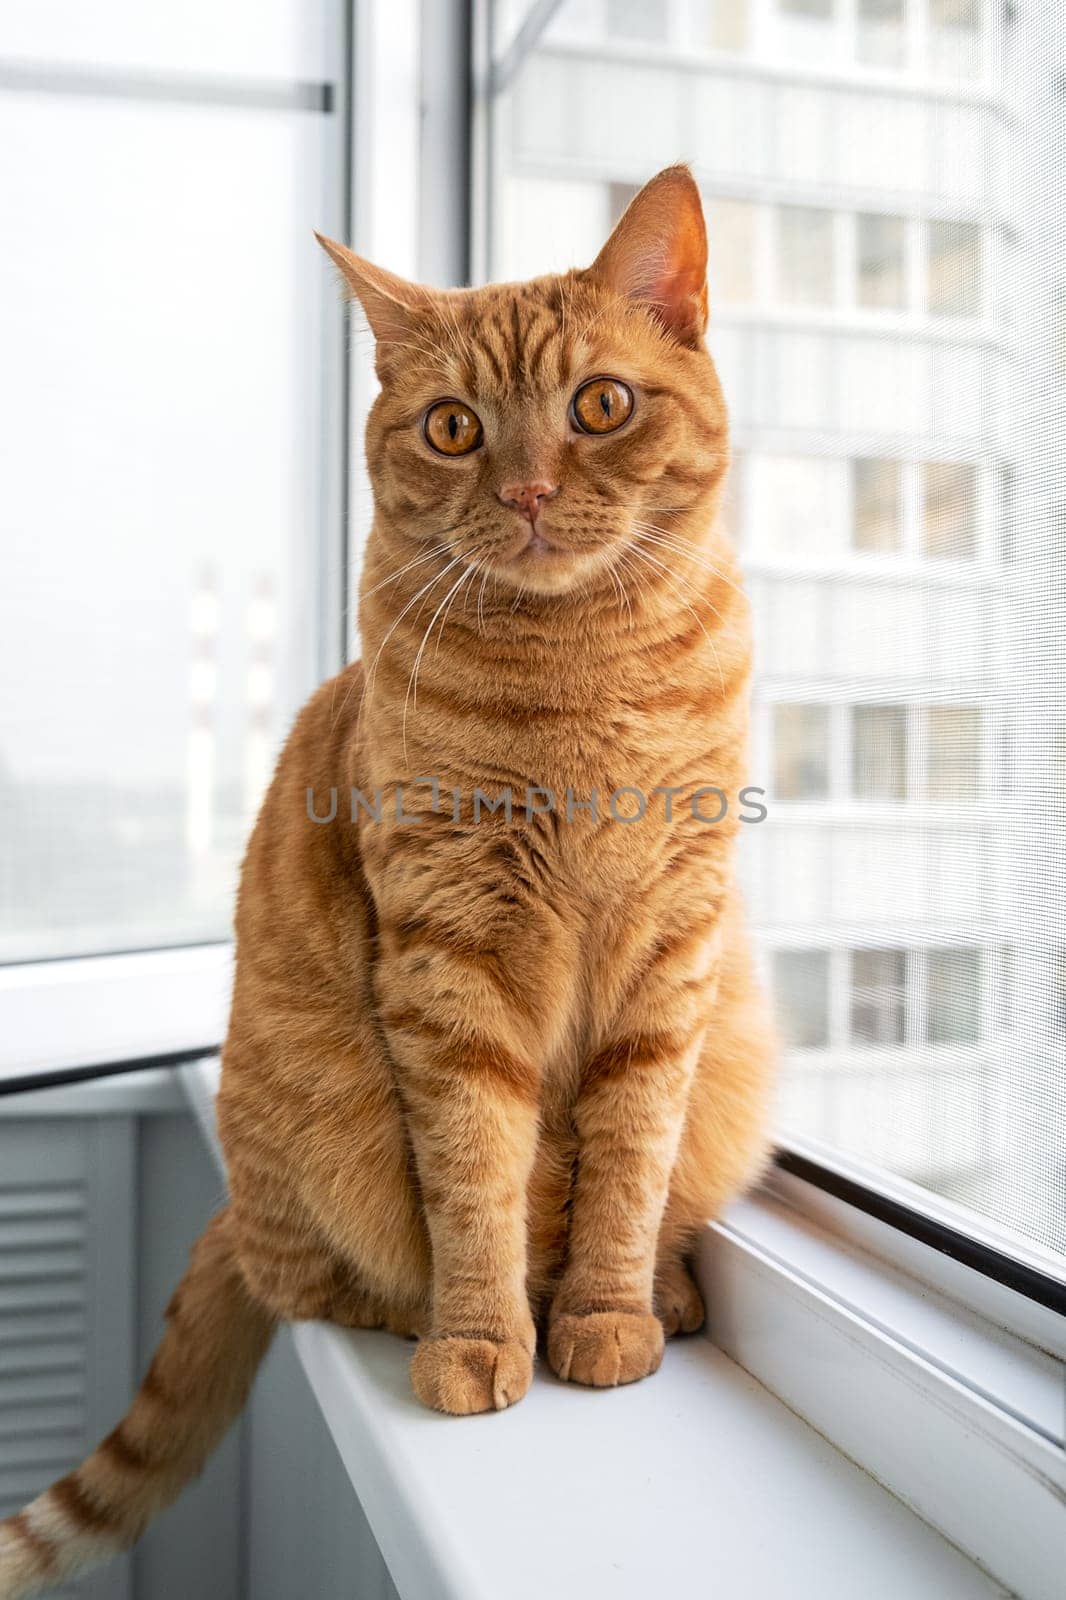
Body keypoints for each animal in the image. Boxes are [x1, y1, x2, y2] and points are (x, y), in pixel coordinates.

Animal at [0, 168, 768, 1593]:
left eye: (600, 405)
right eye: (454, 428)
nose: (526, 493)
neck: (577, 674)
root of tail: (232, 1207)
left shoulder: (673, 949)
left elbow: (629, 1162)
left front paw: (607, 1309)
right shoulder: (449, 955)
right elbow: (476, 1173)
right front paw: (482, 1335)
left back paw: (668, 1290)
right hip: (310, 1133)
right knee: (312, 1277)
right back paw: (413, 1309)